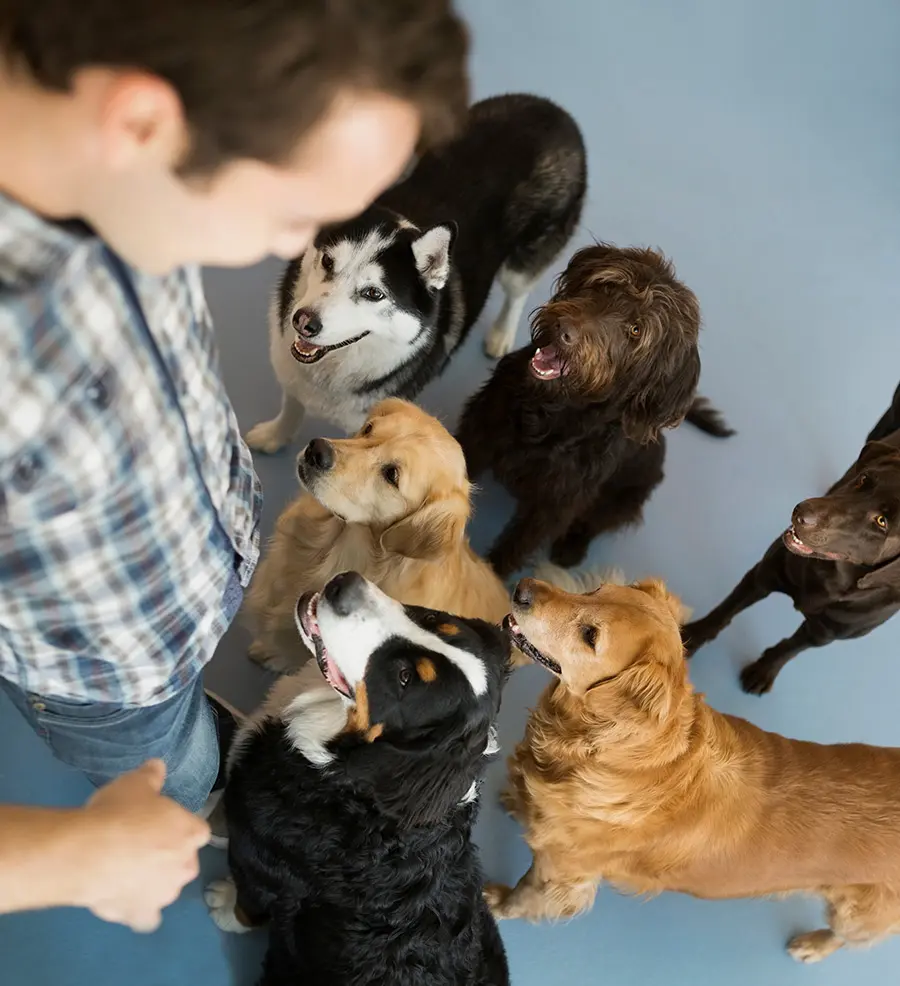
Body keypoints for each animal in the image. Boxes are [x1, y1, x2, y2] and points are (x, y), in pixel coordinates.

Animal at [206, 568, 512, 984]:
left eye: (404, 678)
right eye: (434, 619)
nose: (345, 583)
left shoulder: (260, 863)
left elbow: (249, 903)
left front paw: (224, 905)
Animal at [246, 92, 588, 446]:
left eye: (373, 293)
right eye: (328, 262)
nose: (303, 322)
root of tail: (551, 108)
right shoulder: (294, 376)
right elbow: (292, 405)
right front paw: (273, 436)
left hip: (523, 260)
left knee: (518, 293)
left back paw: (500, 334)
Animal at [458, 242, 732, 576]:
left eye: (636, 330)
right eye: (607, 286)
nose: (564, 329)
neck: (554, 412)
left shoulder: (556, 506)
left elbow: (517, 546)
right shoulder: (479, 432)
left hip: (625, 499)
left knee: (594, 524)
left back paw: (572, 547)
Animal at [684, 380, 900, 696]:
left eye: (882, 522)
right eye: (863, 480)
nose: (801, 513)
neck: (836, 579)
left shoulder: (826, 633)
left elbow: (791, 648)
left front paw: (764, 670)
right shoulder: (763, 574)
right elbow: (724, 613)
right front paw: (692, 636)